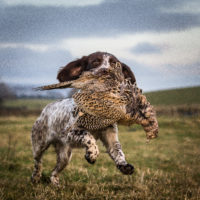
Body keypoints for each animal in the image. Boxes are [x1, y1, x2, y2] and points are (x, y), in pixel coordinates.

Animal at [30, 52, 136, 186]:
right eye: (95, 62)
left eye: (114, 63)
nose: (105, 71)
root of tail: (45, 109)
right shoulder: (69, 132)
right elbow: (88, 136)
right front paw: (92, 154)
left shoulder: (110, 135)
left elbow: (117, 150)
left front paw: (123, 165)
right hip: (40, 143)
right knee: (37, 162)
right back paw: (35, 177)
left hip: (65, 155)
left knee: (54, 171)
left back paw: (56, 183)